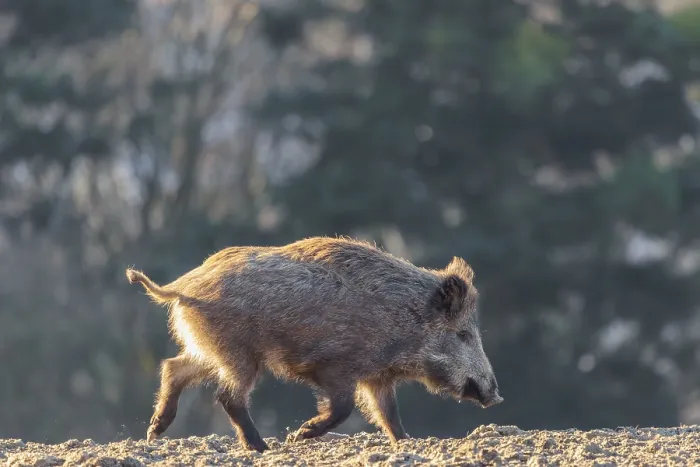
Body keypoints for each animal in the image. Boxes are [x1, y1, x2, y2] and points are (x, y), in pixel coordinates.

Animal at [125, 236, 502, 452]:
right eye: (464, 334)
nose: (496, 396)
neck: (402, 317)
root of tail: (182, 287)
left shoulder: (377, 376)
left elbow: (388, 413)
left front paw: (408, 444)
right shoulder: (336, 368)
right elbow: (343, 408)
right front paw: (300, 435)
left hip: (208, 348)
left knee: (173, 368)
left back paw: (154, 432)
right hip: (240, 354)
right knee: (227, 396)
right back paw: (262, 448)